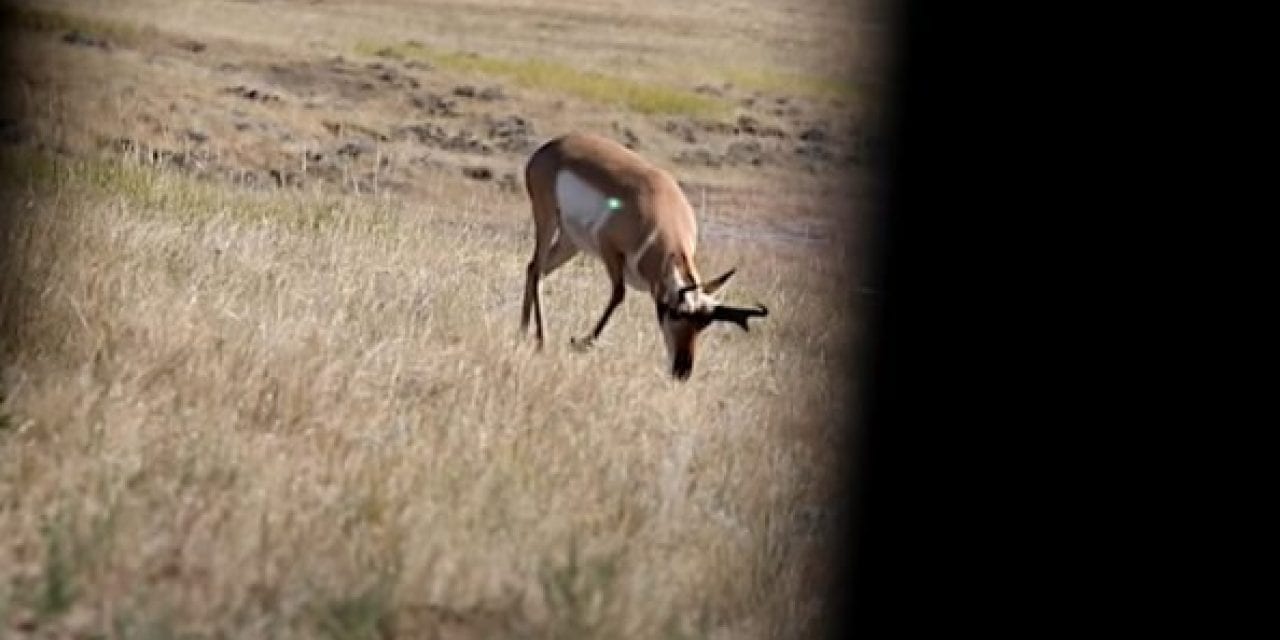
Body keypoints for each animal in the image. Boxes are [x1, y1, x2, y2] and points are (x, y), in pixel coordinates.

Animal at [517, 131, 762, 378]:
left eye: (704, 323)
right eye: (675, 314)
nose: (682, 372)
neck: (660, 208)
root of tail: (552, 146)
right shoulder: (609, 248)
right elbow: (619, 294)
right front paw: (581, 342)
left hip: (571, 242)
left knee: (534, 269)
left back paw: (522, 332)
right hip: (547, 218)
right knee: (536, 269)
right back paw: (540, 340)